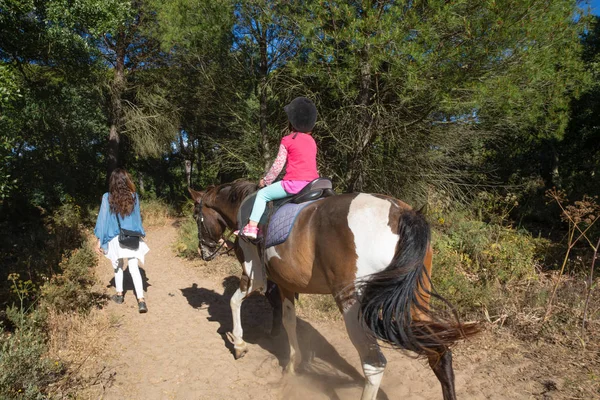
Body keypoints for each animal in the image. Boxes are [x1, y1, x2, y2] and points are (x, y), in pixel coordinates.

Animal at [190, 181, 480, 400]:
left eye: (197, 218)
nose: (204, 252)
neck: (247, 206)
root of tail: (401, 212)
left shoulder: (255, 277)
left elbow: (234, 301)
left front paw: (239, 344)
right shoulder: (285, 285)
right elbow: (288, 321)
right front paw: (293, 364)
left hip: (352, 305)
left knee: (374, 364)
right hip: (415, 301)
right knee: (440, 353)